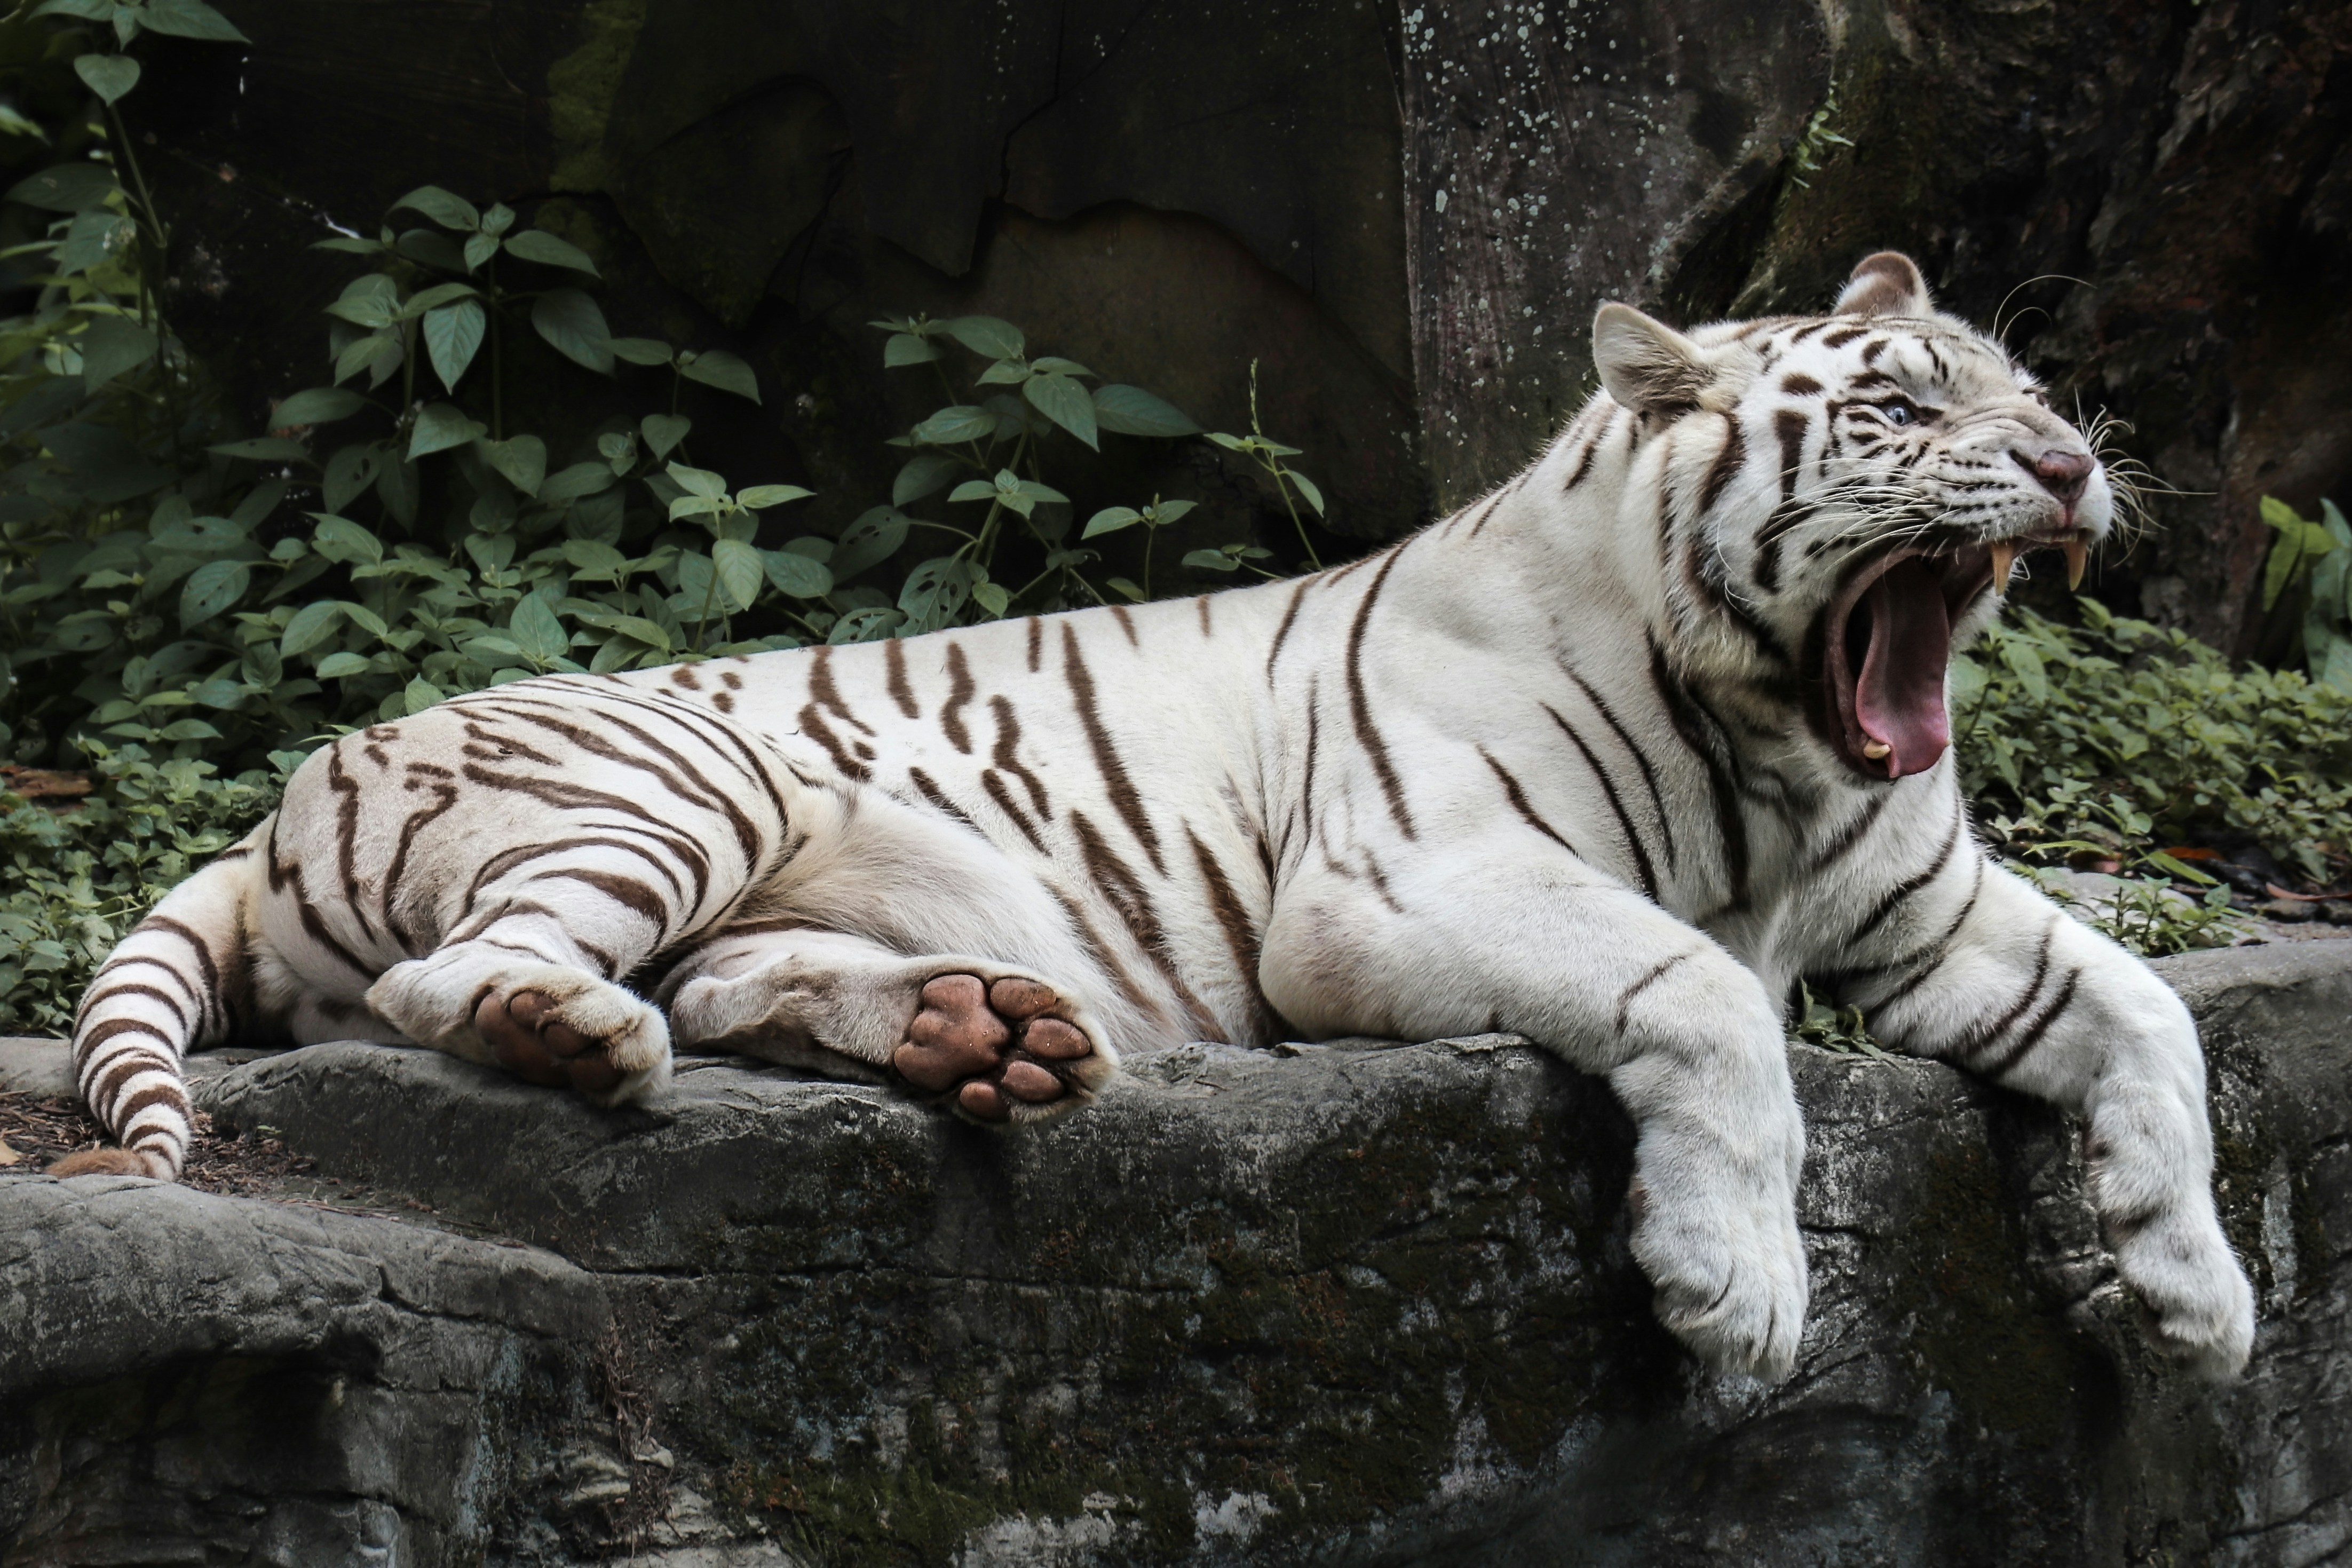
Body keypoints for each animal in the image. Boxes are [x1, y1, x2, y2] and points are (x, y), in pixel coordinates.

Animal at [53, 252, 2256, 1384]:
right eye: (1894, 409)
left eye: (2016, 384)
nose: (2069, 463)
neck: (1785, 743)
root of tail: (283, 797)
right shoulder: (1397, 888)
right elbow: (1702, 1000)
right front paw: (1740, 1290)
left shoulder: (1927, 909)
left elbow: (2147, 1017)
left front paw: (2197, 1295)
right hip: (667, 787)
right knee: (464, 983)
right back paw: (583, 1037)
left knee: (742, 980)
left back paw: (987, 1037)